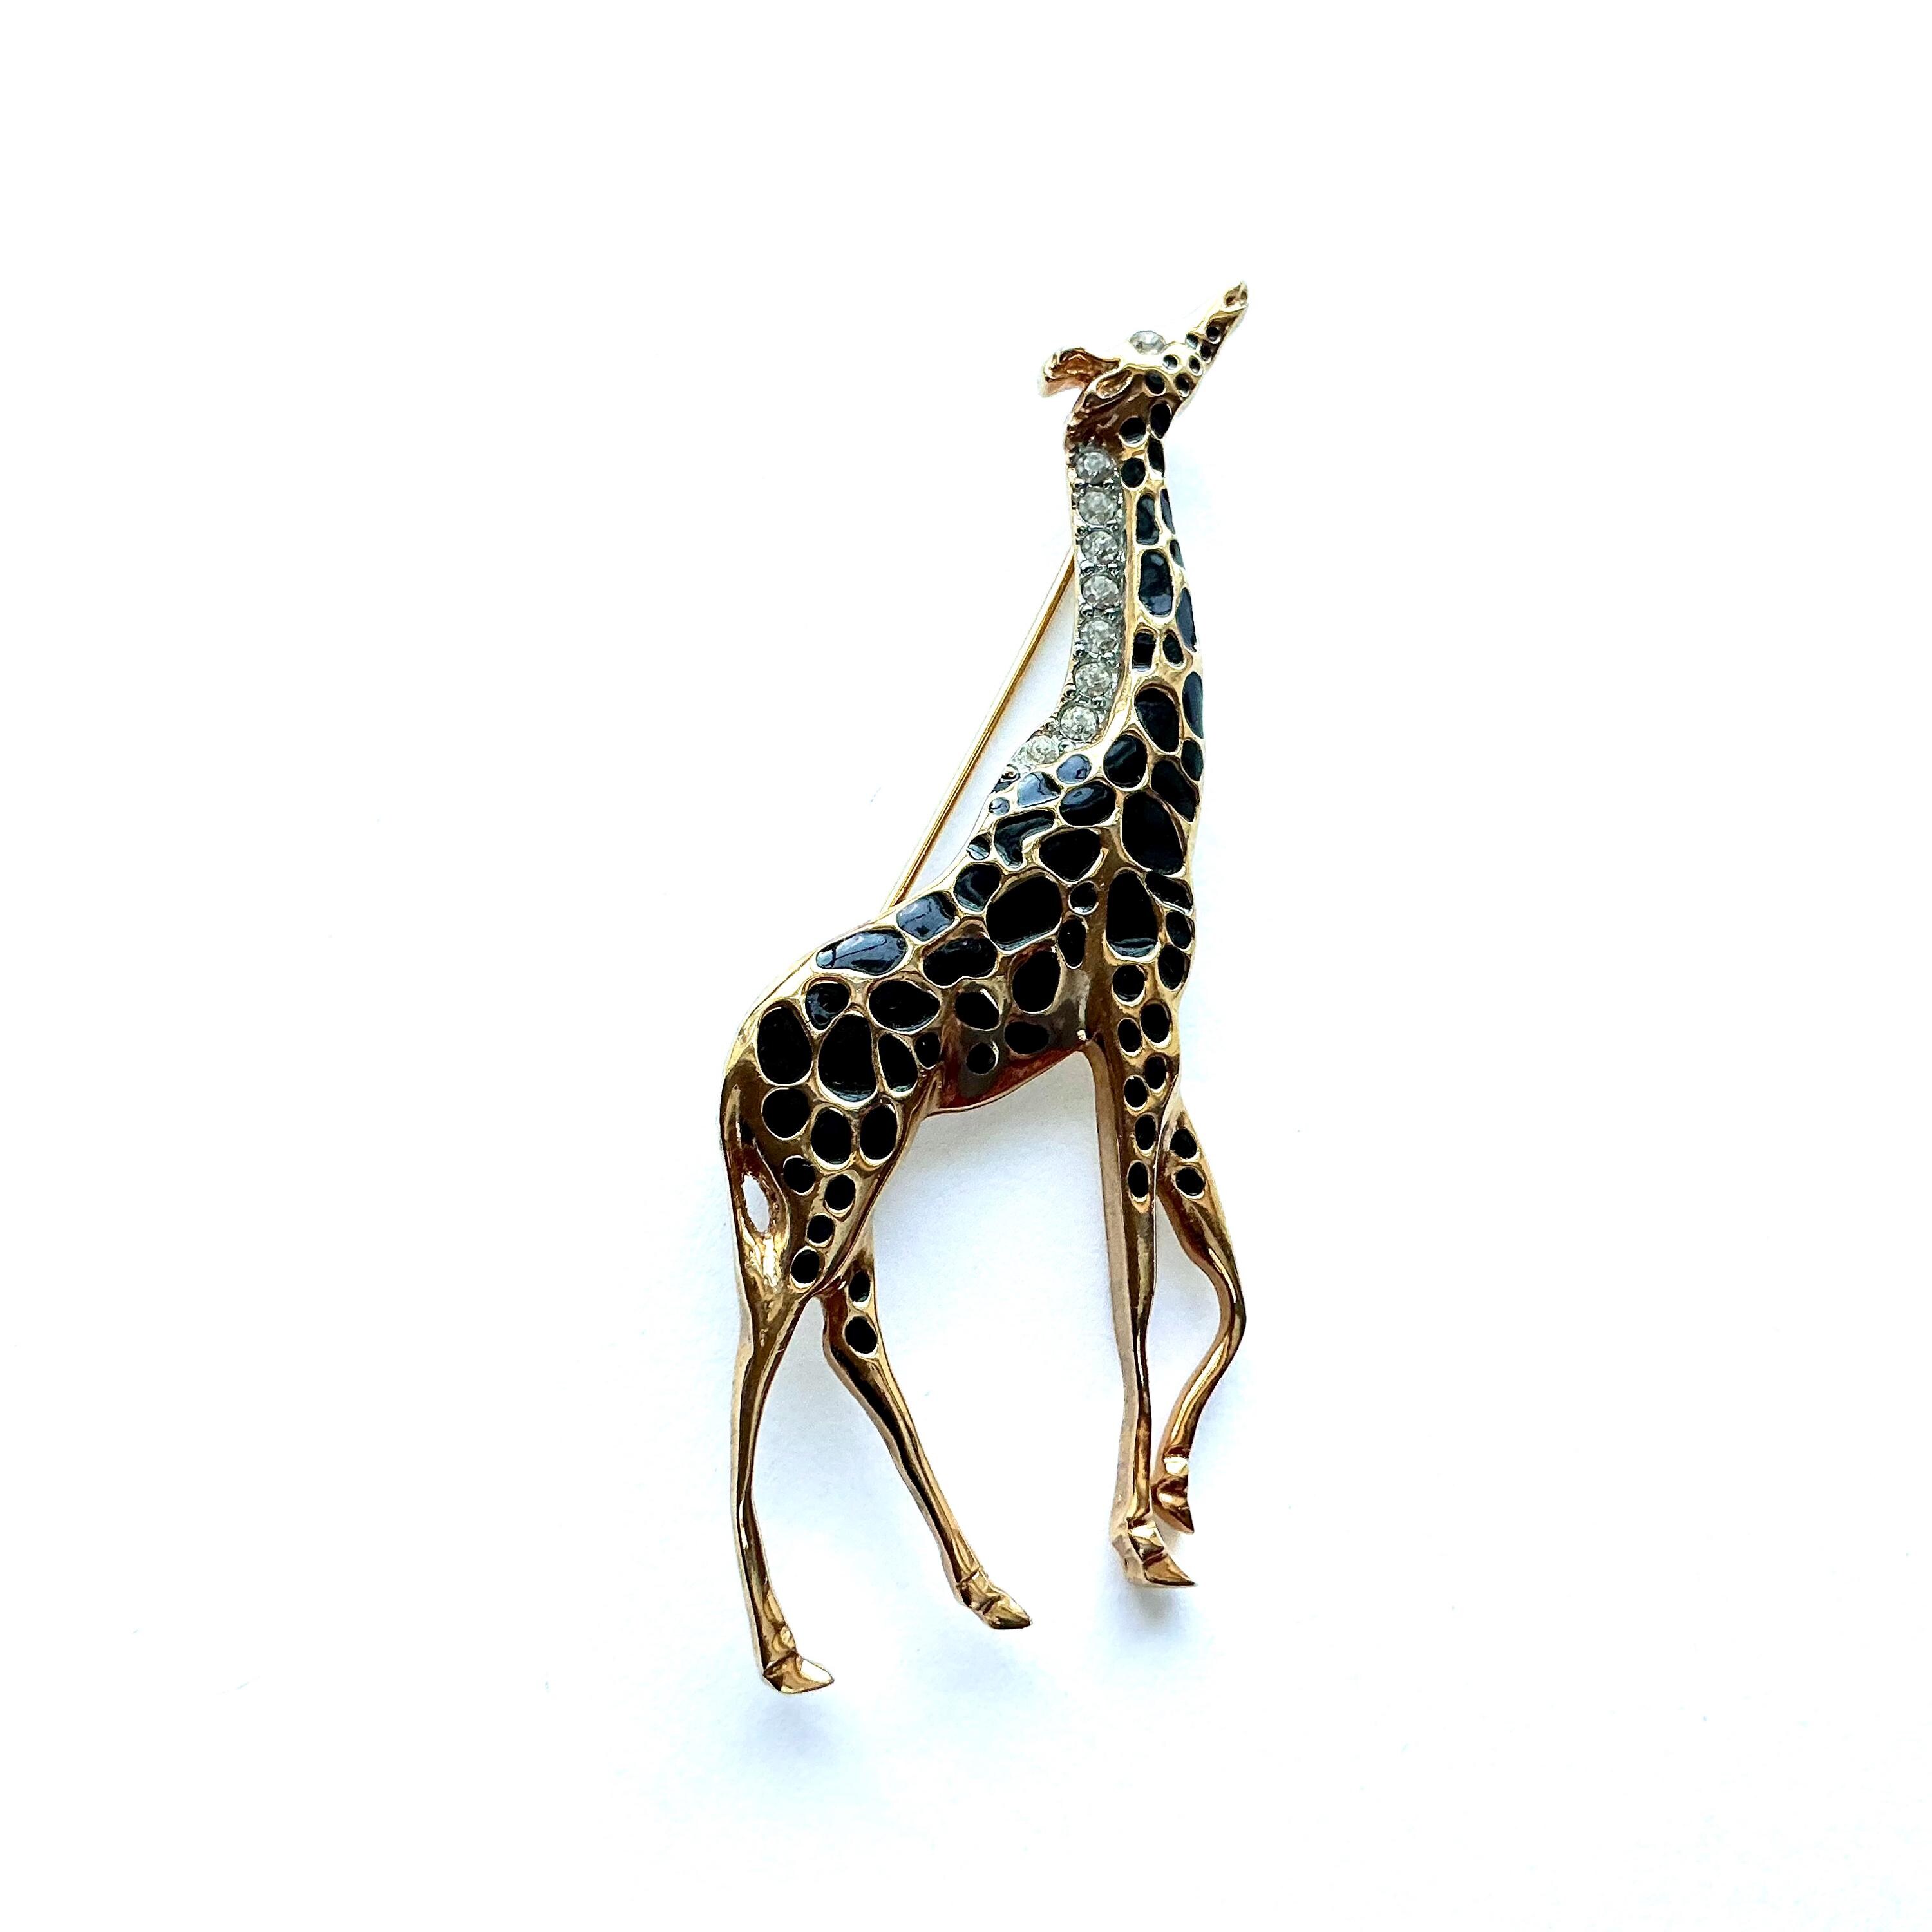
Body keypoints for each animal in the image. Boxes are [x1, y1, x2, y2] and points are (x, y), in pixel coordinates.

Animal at [720, 286, 1250, 1692]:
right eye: (1168, 356)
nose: (1234, 302)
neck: (1142, 753)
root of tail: (729, 1081)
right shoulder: (1145, 1026)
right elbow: (1140, 1276)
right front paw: (1144, 1532)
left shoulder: (1136, 1043)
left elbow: (1221, 1268)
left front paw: (1174, 1497)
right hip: (838, 1174)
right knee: (764, 1343)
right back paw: (786, 1652)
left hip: (833, 1185)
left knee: (849, 1340)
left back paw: (987, 1592)